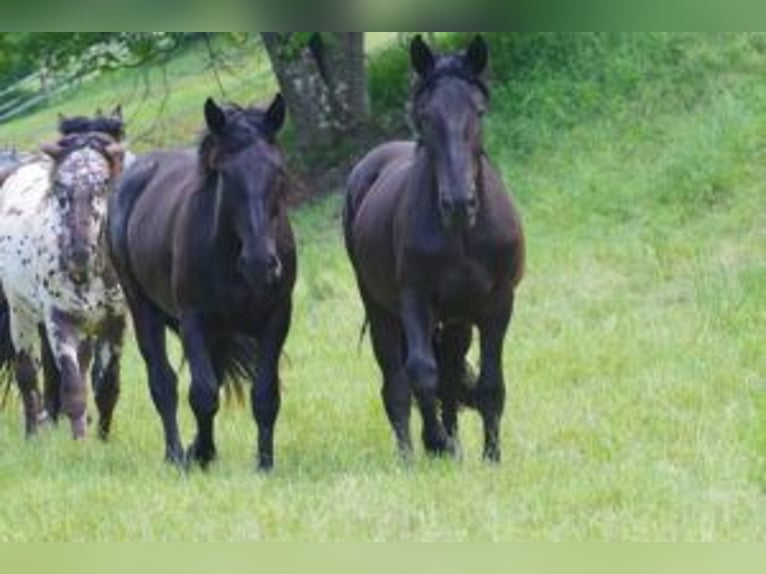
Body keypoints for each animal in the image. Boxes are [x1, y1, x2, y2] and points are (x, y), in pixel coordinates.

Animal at [0, 127, 127, 440]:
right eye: (60, 187)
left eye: (103, 184)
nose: (79, 254)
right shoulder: (61, 321)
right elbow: (74, 389)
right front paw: (79, 442)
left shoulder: (115, 324)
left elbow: (107, 388)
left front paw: (103, 440)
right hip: (21, 314)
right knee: (28, 374)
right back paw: (33, 432)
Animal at [109, 95, 296, 472]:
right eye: (225, 173)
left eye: (277, 170)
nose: (259, 264)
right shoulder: (193, 318)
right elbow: (203, 394)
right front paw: (203, 454)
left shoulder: (277, 317)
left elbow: (265, 394)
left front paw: (264, 463)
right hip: (144, 307)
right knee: (163, 382)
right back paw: (176, 454)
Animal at [344, 35, 524, 464]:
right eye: (426, 115)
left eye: (478, 111)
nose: (459, 203)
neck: (462, 235)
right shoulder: (414, 300)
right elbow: (421, 374)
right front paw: (437, 443)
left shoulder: (498, 304)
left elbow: (490, 384)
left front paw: (491, 456)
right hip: (383, 311)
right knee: (396, 383)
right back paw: (411, 456)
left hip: (456, 320)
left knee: (450, 375)